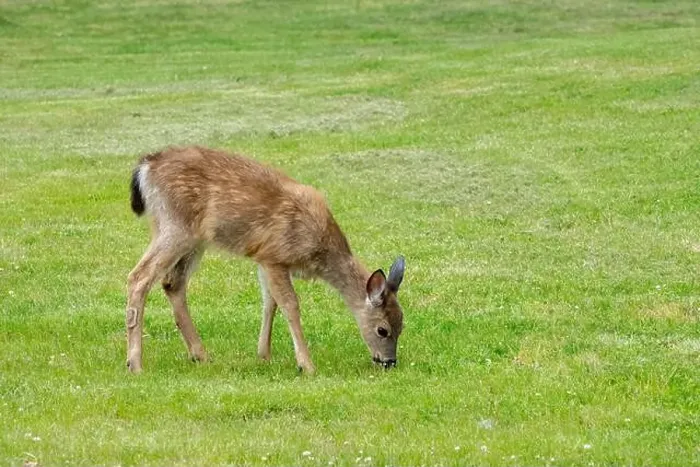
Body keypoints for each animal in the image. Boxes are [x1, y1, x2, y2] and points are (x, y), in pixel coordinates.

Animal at [126, 146, 406, 375]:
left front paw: (264, 355)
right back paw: (135, 364)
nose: (389, 362)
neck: (319, 248)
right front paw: (306, 365)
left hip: (193, 240)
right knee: (139, 276)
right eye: (382, 329)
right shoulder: (275, 255)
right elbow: (290, 304)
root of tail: (146, 166)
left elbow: (269, 303)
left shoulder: (263, 259)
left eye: (402, 324)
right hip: (175, 226)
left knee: (172, 283)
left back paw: (200, 355)